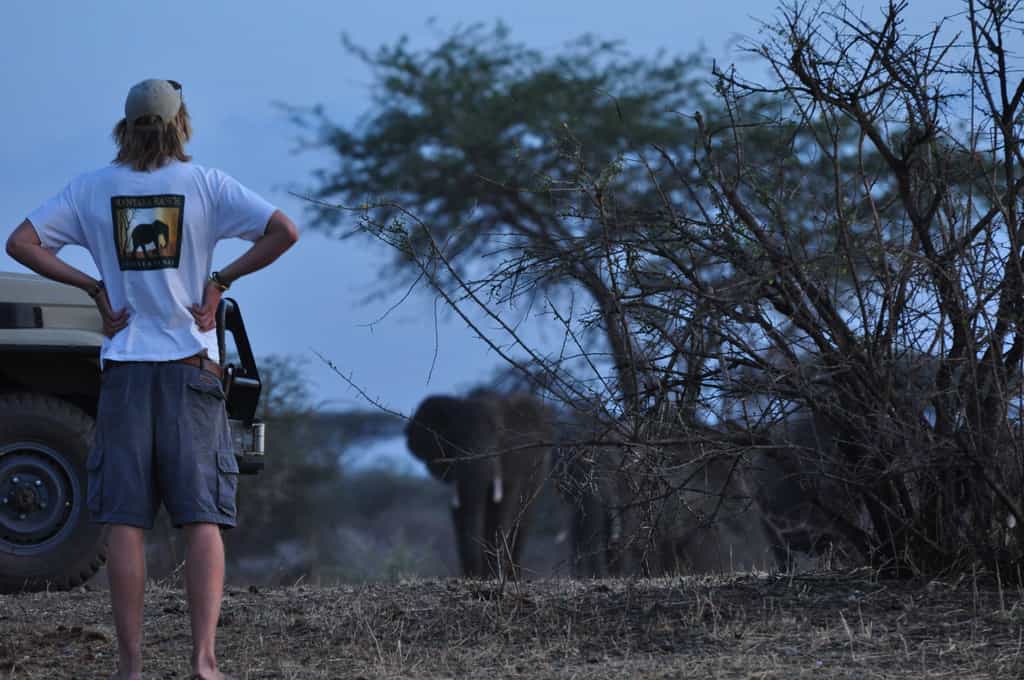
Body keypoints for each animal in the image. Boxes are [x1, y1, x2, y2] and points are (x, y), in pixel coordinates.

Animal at [405, 391, 552, 578]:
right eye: (454, 438)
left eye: (499, 439)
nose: (473, 575)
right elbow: (460, 511)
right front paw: (474, 576)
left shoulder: (513, 463)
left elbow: (501, 511)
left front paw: (491, 577)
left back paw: (511, 576)